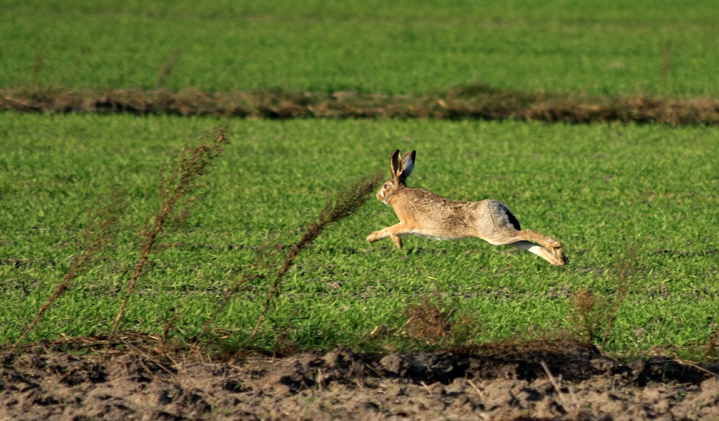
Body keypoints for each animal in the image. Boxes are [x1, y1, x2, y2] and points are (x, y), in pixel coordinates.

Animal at [366, 150, 568, 266]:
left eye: (385, 186)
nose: (377, 195)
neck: (398, 193)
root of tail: (497, 206)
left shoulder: (408, 223)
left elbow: (390, 229)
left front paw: (376, 239)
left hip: (495, 234)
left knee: (528, 232)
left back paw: (557, 247)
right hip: (504, 236)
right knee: (528, 242)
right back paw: (560, 259)